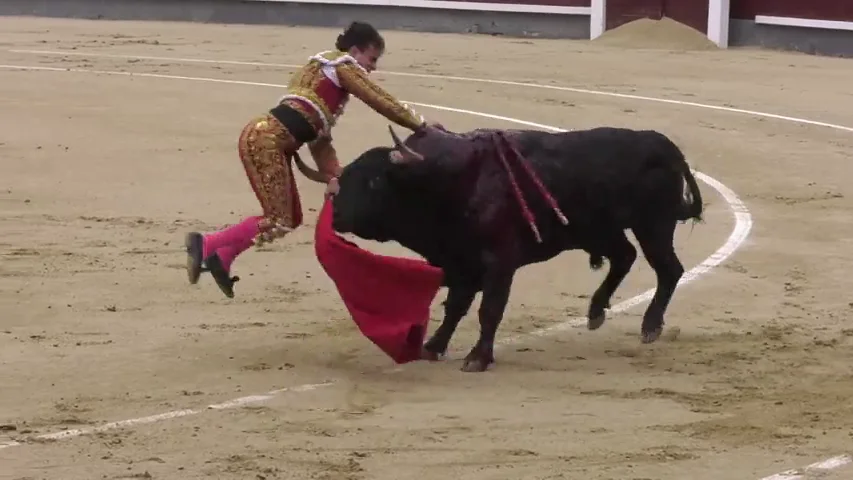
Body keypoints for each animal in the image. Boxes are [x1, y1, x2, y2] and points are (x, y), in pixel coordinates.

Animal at [296, 125, 704, 374]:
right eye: (345, 179)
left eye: (376, 181)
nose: (337, 214)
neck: (448, 183)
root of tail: (663, 144)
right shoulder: (460, 262)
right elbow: (455, 307)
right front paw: (433, 346)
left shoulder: (498, 262)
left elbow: (488, 310)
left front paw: (478, 358)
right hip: (600, 230)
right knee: (625, 257)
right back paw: (595, 312)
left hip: (653, 226)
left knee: (668, 270)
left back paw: (650, 326)